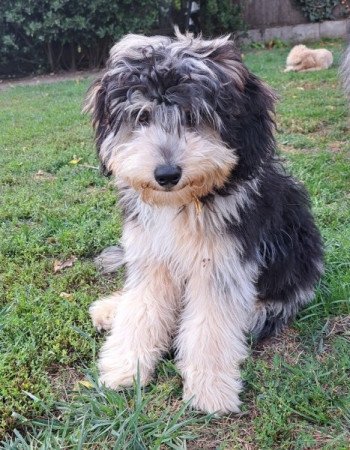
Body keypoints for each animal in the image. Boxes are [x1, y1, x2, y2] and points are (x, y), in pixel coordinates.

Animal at [84, 31, 322, 414]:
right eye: (142, 116)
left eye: (193, 116)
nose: (166, 174)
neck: (185, 203)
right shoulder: (151, 254)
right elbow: (142, 310)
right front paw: (124, 366)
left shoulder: (221, 264)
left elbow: (210, 328)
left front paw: (210, 388)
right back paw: (112, 308)